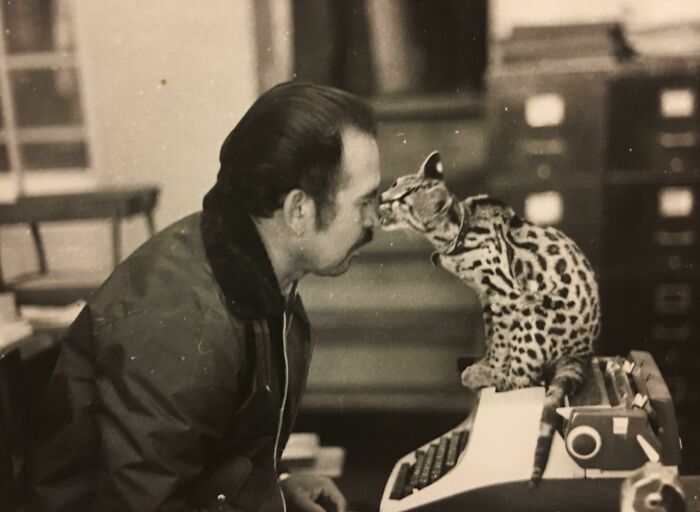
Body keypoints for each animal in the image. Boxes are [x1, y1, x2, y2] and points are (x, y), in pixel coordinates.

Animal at [378, 151, 600, 484]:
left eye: (404, 199)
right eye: (394, 184)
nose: (381, 199)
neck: (454, 234)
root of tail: (584, 352)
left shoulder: (505, 295)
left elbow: (503, 341)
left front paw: (491, 370)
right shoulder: (486, 298)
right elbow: (492, 335)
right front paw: (487, 362)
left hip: (535, 314)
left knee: (526, 376)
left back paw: (495, 379)